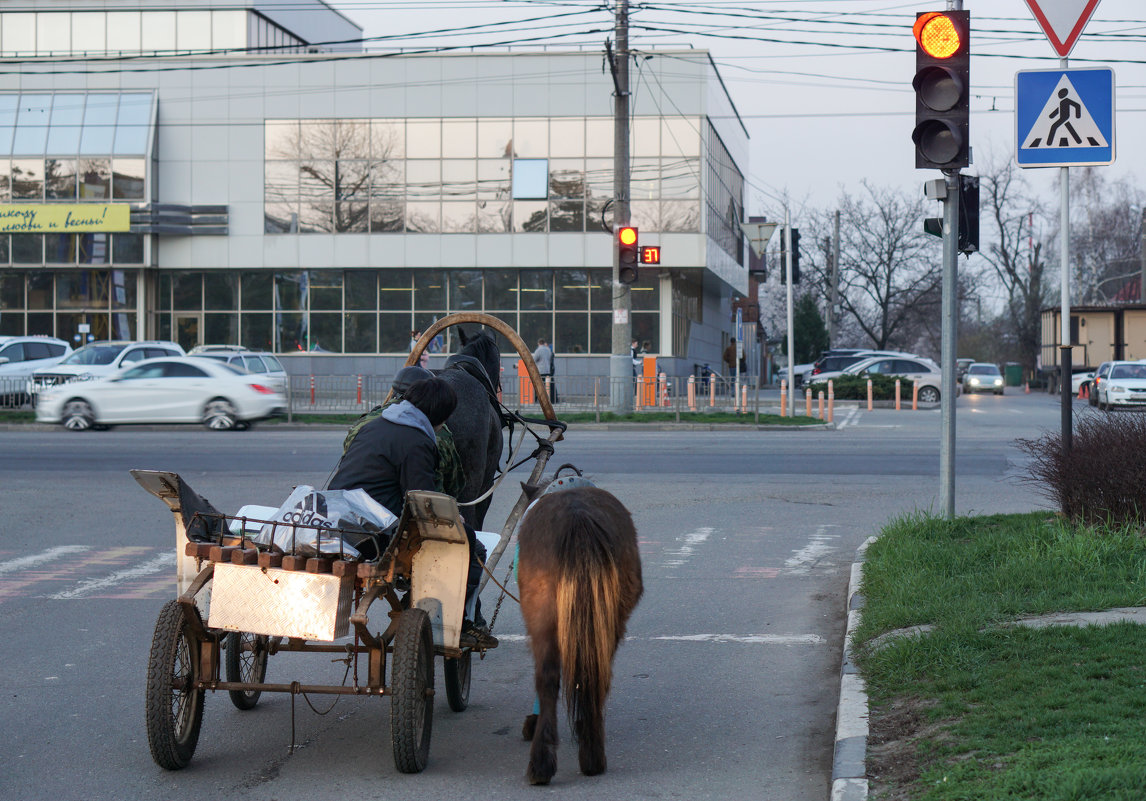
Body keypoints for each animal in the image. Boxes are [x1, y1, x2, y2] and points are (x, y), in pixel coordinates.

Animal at [515, 476, 641, 783]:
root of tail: (578, 518)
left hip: (541, 615)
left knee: (547, 677)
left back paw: (542, 762)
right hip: (609, 619)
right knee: (594, 673)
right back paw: (591, 753)